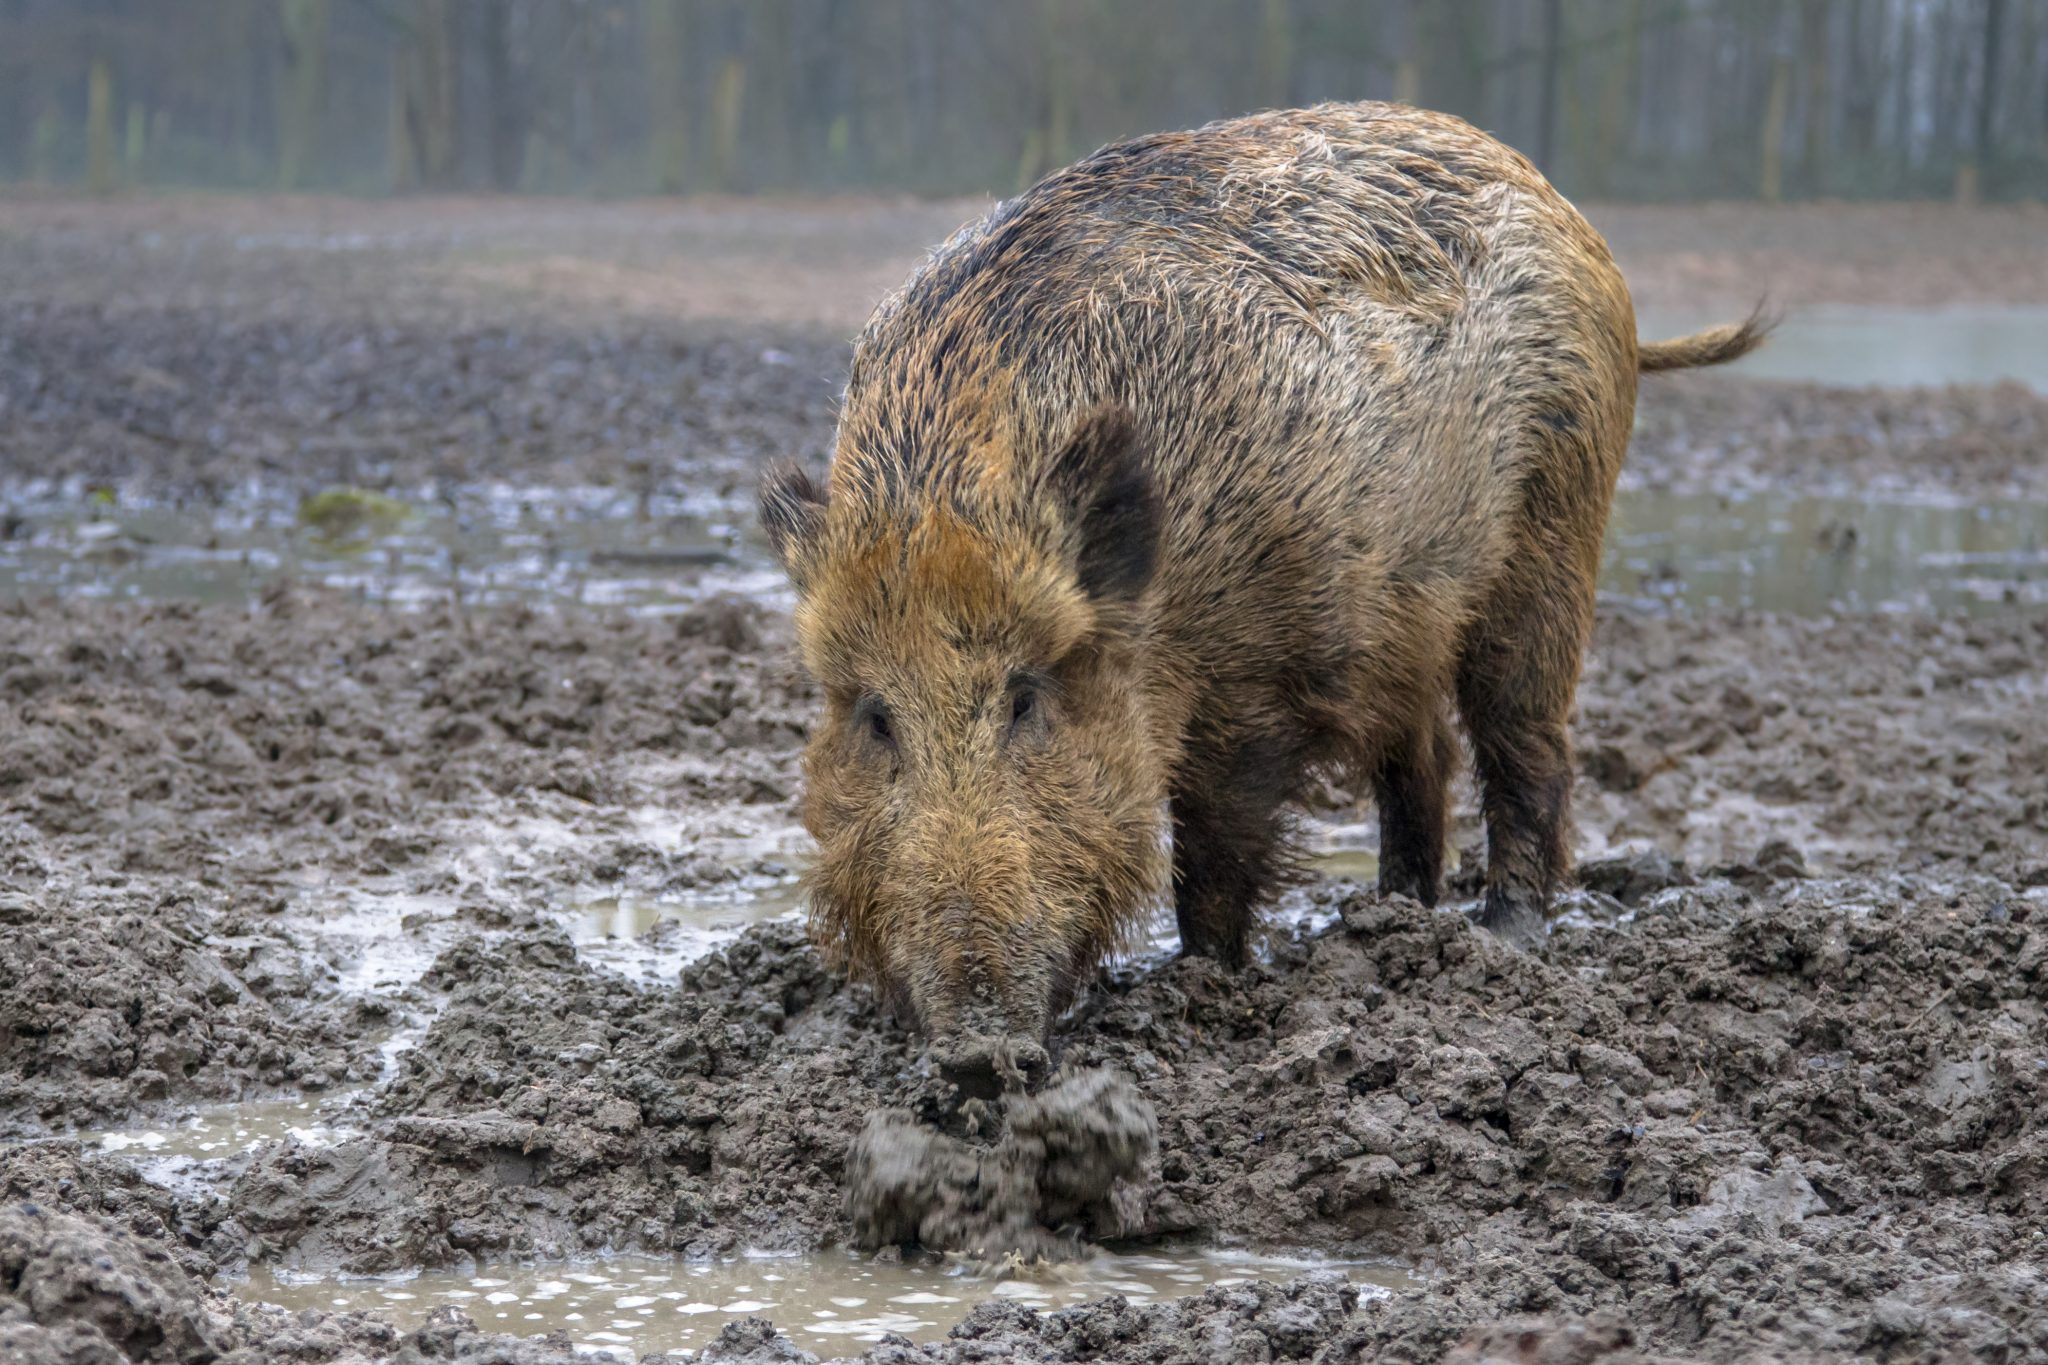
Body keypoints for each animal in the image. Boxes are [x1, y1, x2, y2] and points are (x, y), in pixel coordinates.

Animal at [759, 102, 1765, 1079]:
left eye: (1026, 697)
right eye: (876, 716)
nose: (979, 1057)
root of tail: (1568, 215)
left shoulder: (1256, 682)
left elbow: (1214, 849)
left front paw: (1205, 979)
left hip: (1556, 529)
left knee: (1525, 740)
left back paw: (1504, 937)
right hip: (1407, 617)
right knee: (1425, 755)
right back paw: (1395, 914)